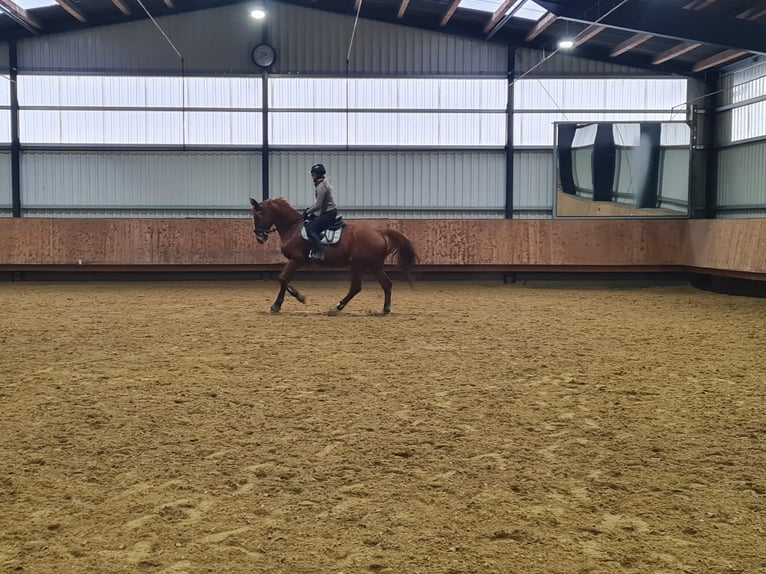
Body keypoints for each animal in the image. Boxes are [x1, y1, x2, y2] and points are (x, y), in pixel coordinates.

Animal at [250, 198, 420, 316]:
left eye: (258, 216)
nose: (259, 238)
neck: (293, 228)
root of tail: (380, 232)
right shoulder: (295, 261)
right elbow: (285, 280)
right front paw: (287, 300)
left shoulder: (296, 259)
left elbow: (283, 279)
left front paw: (289, 300)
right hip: (374, 266)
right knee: (386, 284)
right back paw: (385, 309)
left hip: (358, 265)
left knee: (356, 287)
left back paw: (336, 308)